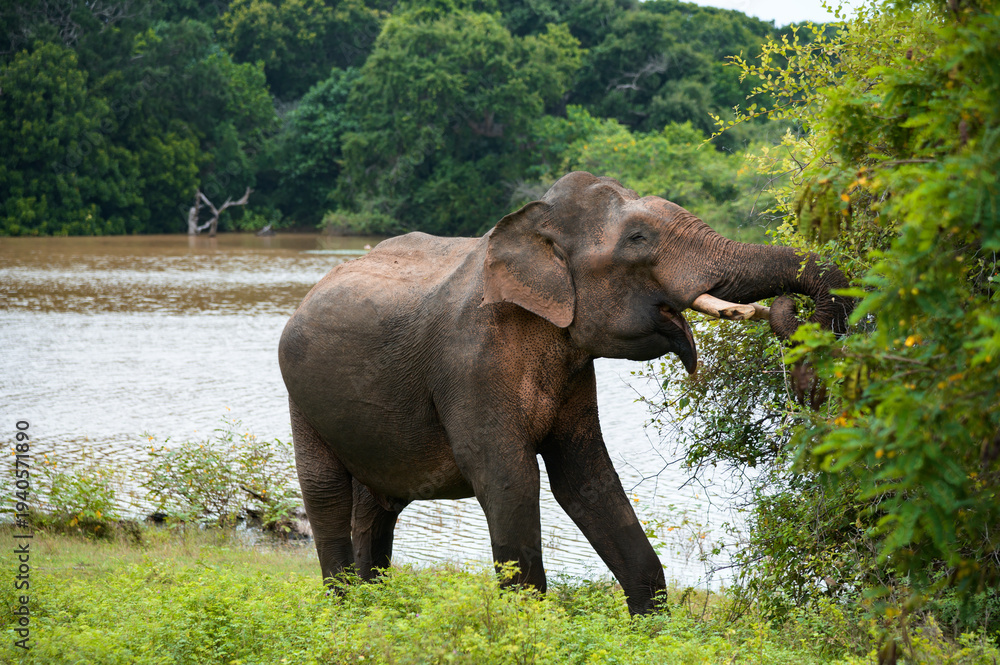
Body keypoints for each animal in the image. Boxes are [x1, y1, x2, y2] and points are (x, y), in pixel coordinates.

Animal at [278, 171, 853, 615]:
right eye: (638, 239)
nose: (810, 390)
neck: (533, 228)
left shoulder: (575, 368)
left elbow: (586, 478)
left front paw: (650, 630)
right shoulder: (469, 365)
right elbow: (508, 480)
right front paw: (526, 626)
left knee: (376, 509)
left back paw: (371, 608)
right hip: (298, 396)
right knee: (326, 494)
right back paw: (344, 611)